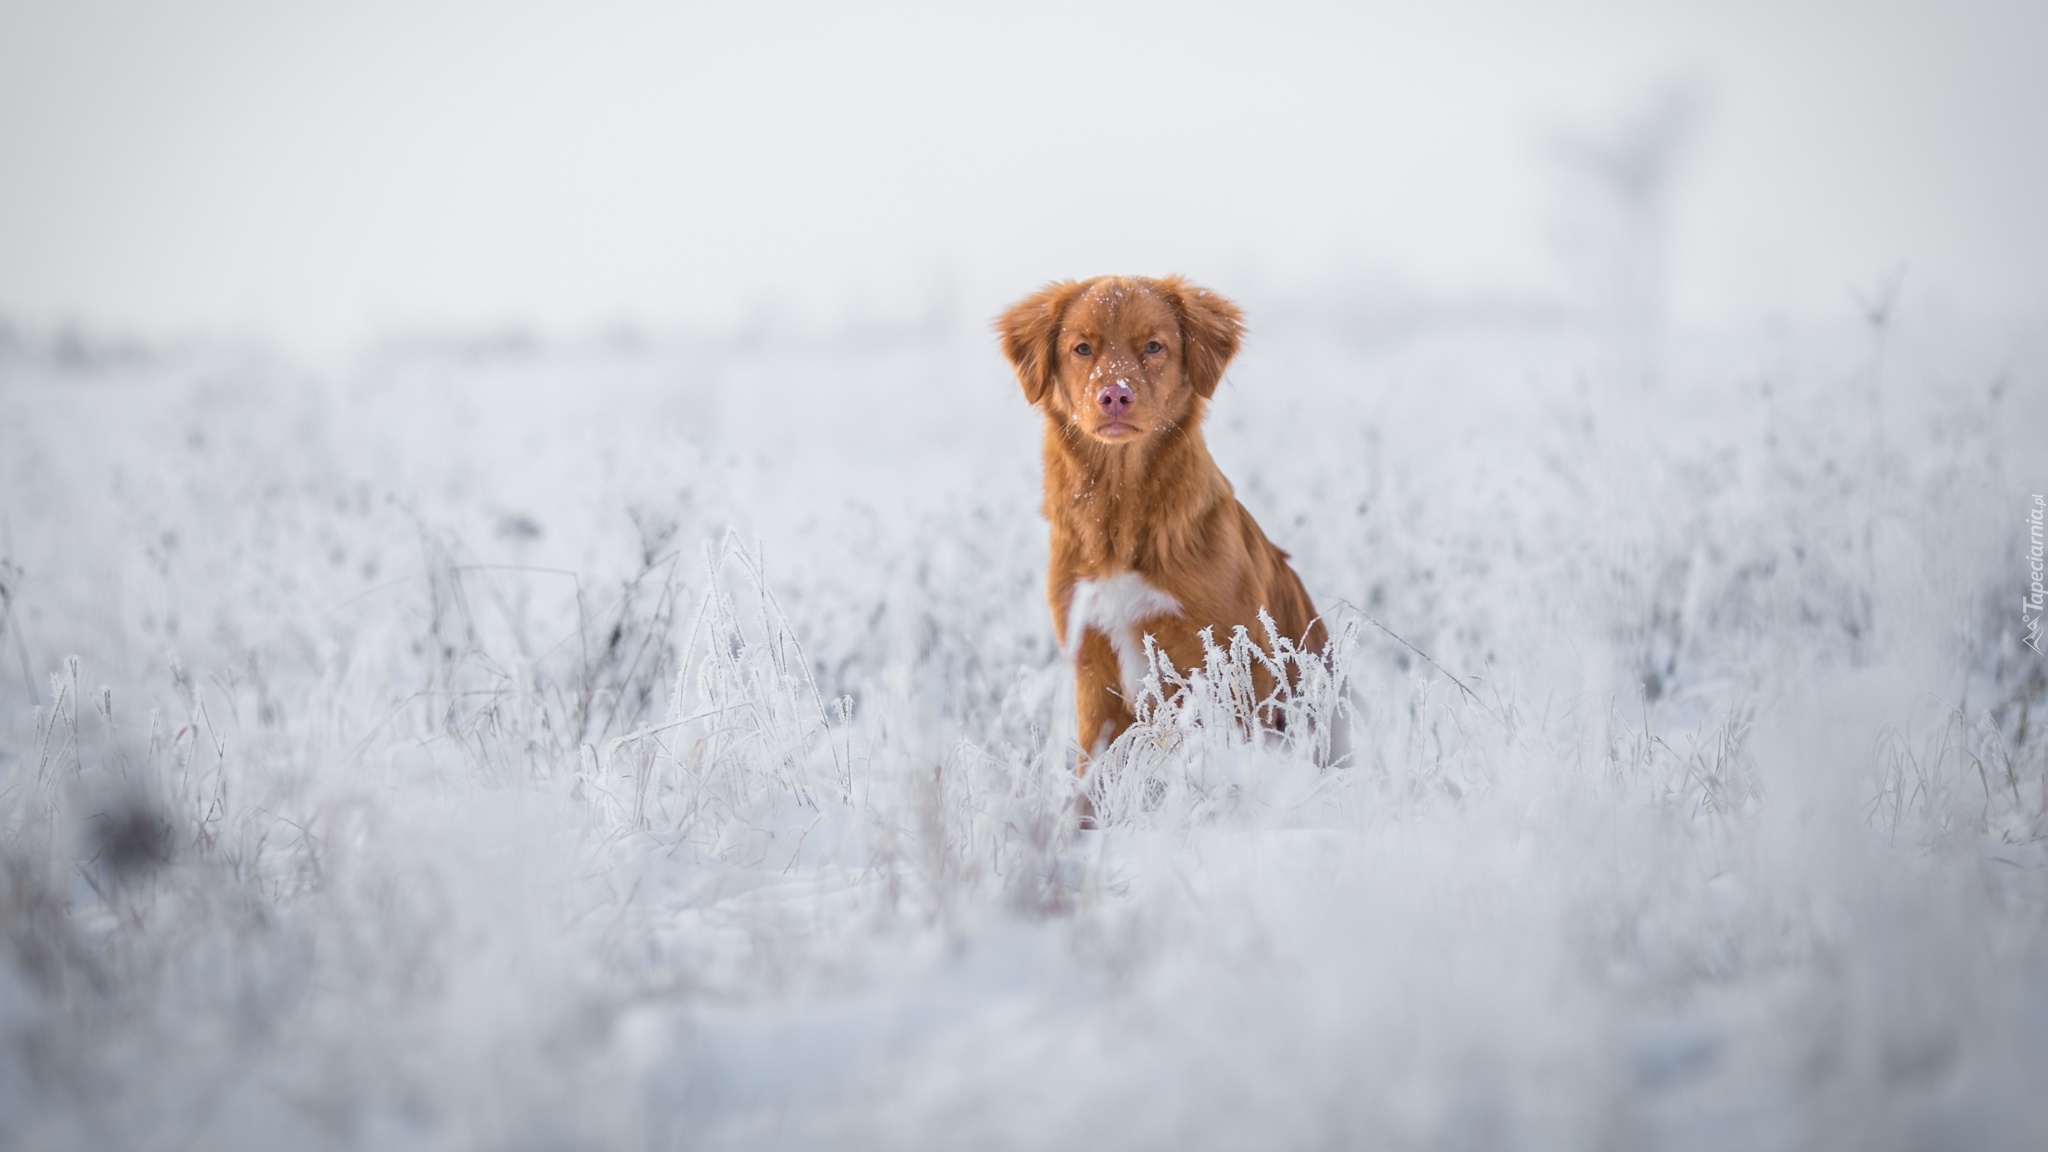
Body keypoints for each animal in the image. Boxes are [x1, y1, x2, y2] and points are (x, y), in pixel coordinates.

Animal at [995, 272, 1327, 778]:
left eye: (1153, 346)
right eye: (1082, 348)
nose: (1115, 394)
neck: (1119, 515)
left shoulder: (1229, 657)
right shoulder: (1092, 663)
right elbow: (1091, 776)